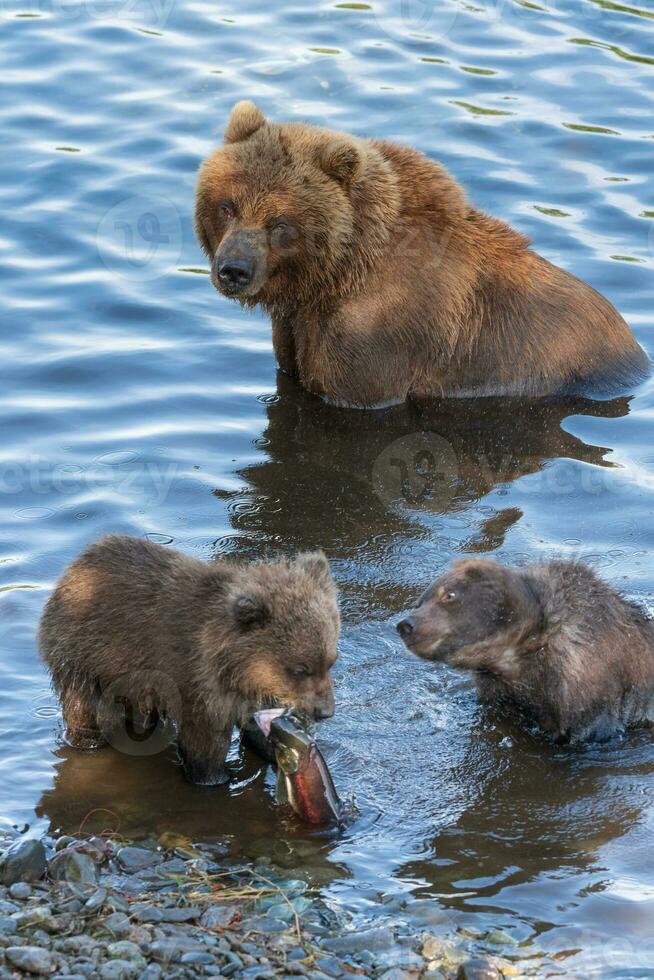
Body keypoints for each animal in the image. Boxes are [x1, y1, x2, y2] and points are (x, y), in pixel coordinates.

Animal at [195, 105, 652, 412]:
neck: (335, 274)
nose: (234, 270)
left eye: (279, 222)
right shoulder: (297, 323)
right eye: (229, 205)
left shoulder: (374, 336)